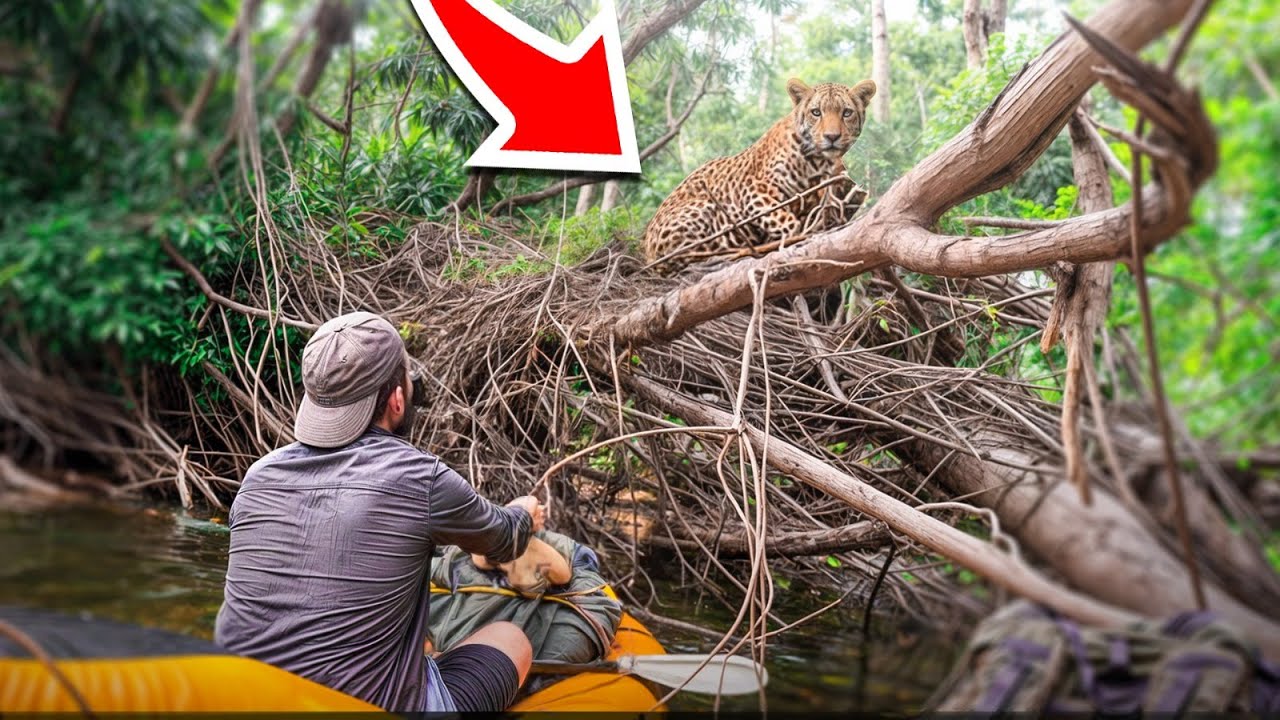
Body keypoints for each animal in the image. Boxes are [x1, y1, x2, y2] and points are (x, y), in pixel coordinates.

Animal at [642, 78, 876, 274]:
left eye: (846, 113)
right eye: (816, 112)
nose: (831, 137)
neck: (817, 162)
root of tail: (646, 253)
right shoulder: (752, 191)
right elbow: (786, 221)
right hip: (700, 208)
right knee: (683, 257)